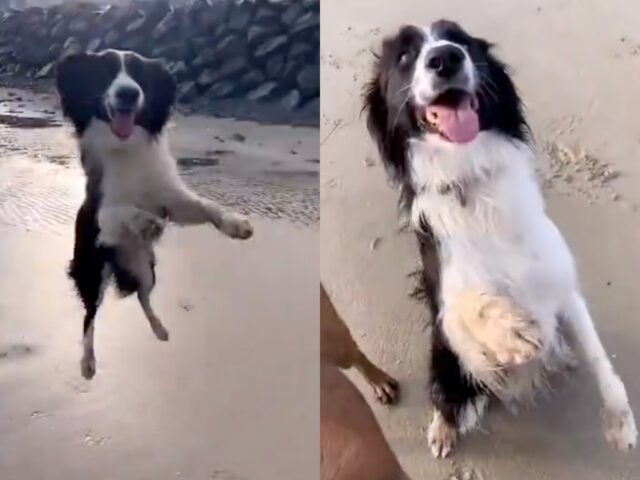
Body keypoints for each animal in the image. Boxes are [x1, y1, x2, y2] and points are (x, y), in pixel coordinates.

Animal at [56, 49, 254, 378]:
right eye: (107, 71)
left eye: (139, 74)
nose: (129, 93)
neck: (125, 146)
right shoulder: (101, 215)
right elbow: (121, 211)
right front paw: (147, 221)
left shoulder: (171, 199)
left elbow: (205, 205)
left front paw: (234, 223)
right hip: (93, 270)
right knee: (90, 316)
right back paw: (88, 360)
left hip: (147, 267)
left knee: (142, 295)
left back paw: (159, 328)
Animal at [362, 20, 636, 458]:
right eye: (404, 56)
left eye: (459, 38)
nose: (446, 57)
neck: (469, 178)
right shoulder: (448, 305)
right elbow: (467, 307)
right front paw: (514, 333)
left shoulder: (560, 280)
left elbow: (599, 357)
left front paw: (620, 422)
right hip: (445, 360)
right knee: (445, 395)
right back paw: (443, 429)